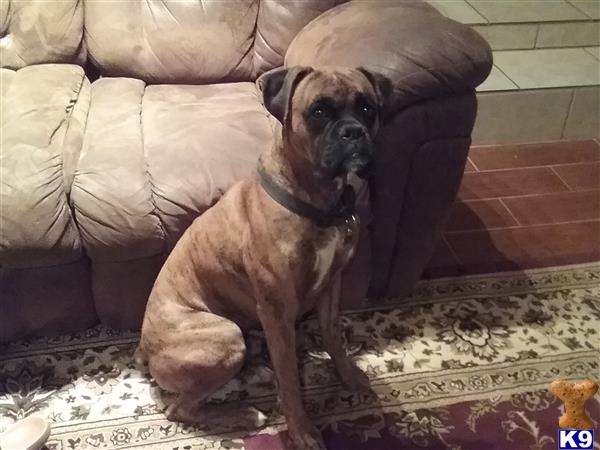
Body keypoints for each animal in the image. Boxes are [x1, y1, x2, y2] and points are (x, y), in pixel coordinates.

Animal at [136, 65, 392, 448]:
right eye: (318, 111)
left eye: (367, 108)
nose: (353, 132)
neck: (319, 203)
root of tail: (144, 350)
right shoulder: (277, 312)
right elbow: (290, 380)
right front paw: (302, 431)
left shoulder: (331, 286)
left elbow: (333, 337)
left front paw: (348, 376)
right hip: (226, 337)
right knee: (180, 409)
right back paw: (245, 413)